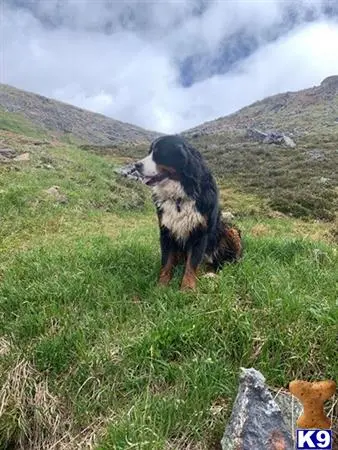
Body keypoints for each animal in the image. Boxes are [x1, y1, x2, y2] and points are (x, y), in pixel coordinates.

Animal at [133, 135, 242, 290]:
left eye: (159, 153)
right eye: (150, 152)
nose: (136, 165)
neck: (180, 195)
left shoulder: (199, 232)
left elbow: (192, 264)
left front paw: (187, 288)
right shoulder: (166, 231)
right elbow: (166, 262)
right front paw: (162, 286)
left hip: (229, 230)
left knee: (225, 263)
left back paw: (211, 275)